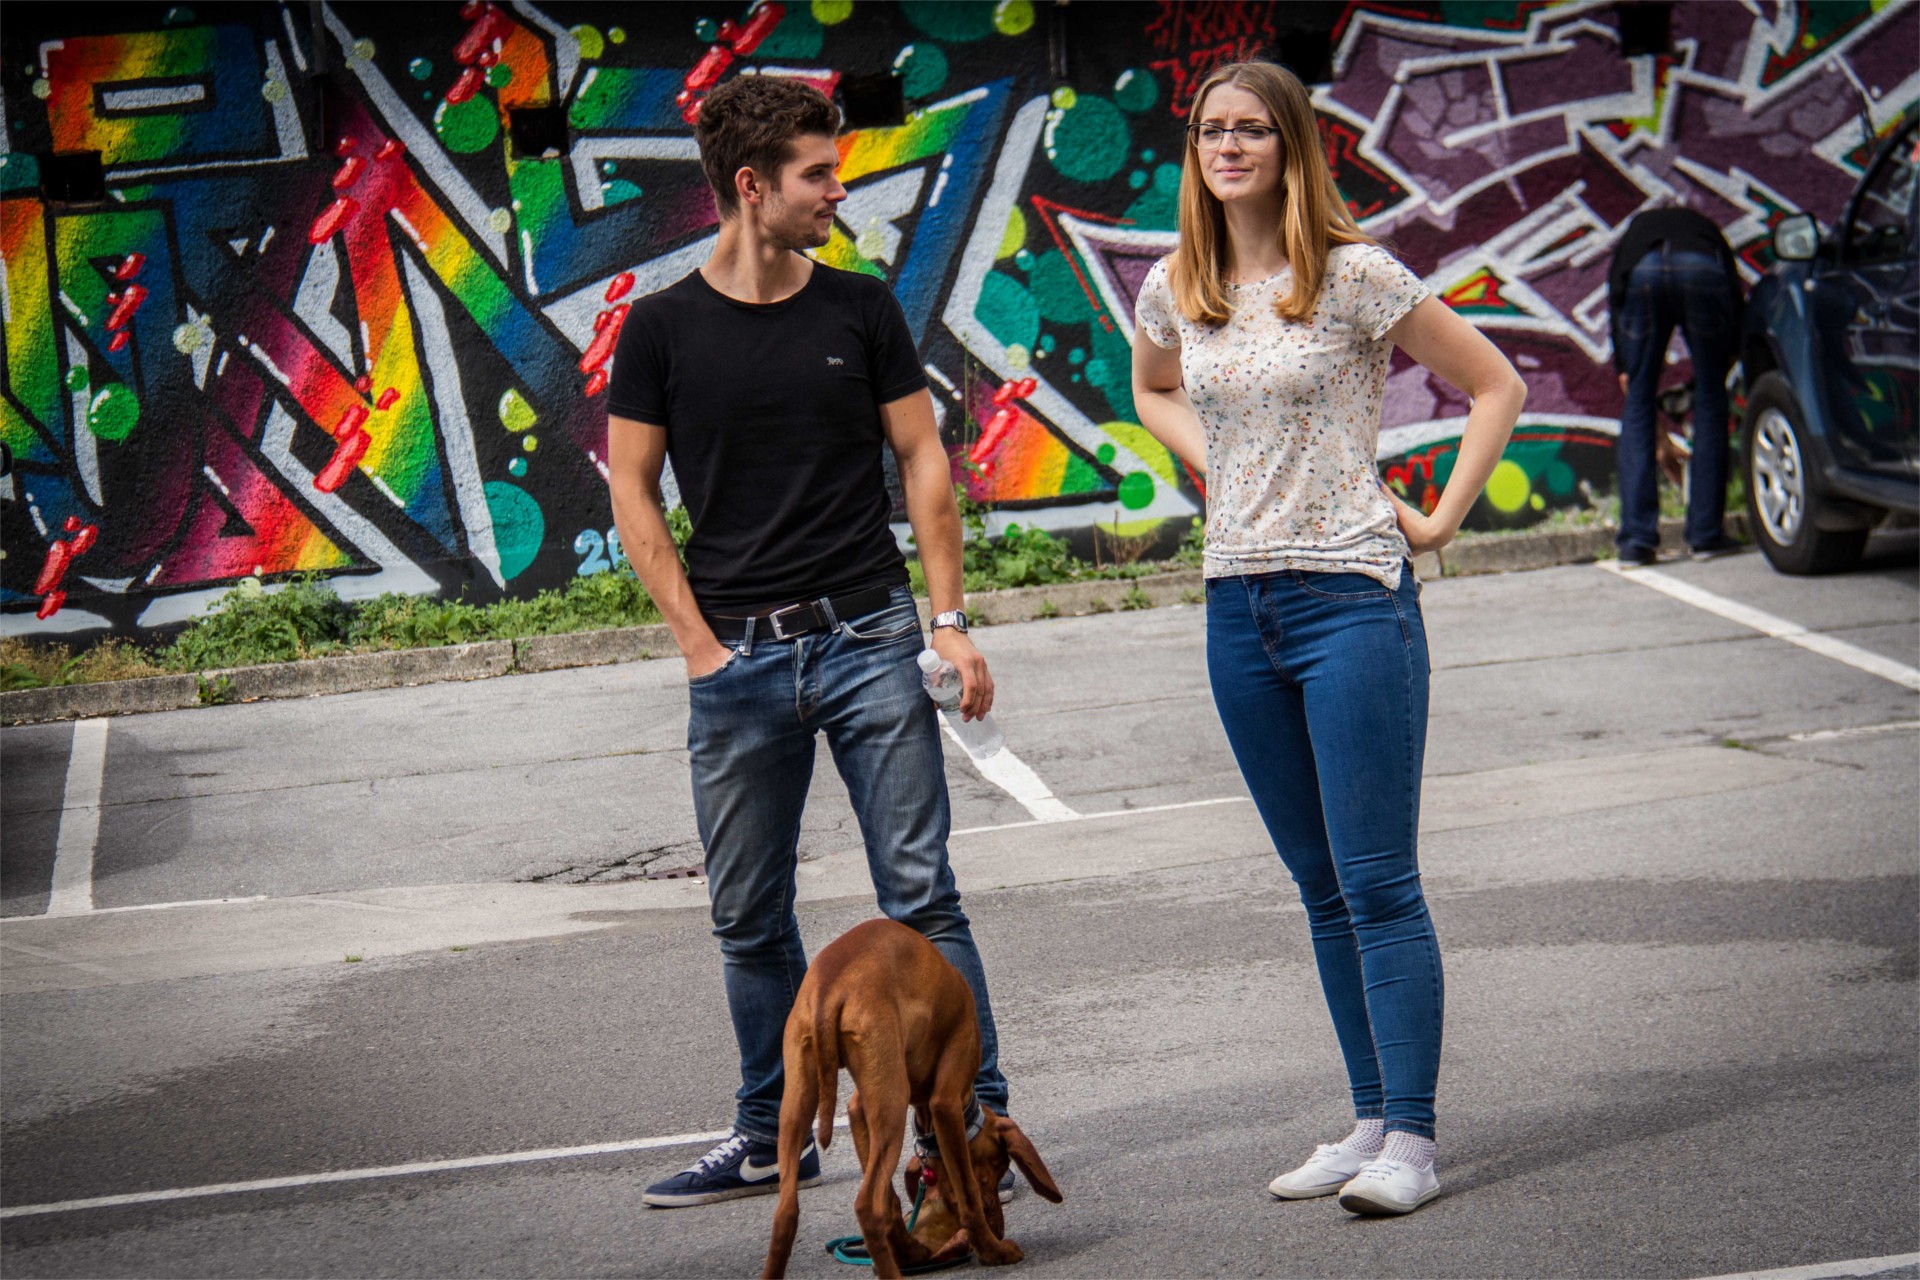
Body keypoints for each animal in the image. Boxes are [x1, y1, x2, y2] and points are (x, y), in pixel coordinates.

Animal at [761, 919, 1061, 1279]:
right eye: (999, 1164)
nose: (999, 1227)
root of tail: (829, 989)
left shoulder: (859, 1107)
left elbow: (892, 1203)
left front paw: (909, 1251)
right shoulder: (945, 1101)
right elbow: (968, 1196)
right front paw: (994, 1251)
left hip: (800, 1097)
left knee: (786, 1213)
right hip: (890, 1106)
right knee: (867, 1206)